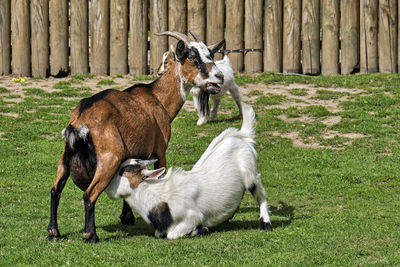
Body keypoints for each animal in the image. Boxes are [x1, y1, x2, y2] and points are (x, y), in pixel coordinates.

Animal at [47, 31, 225, 243]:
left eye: (211, 55)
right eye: (192, 57)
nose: (220, 77)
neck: (157, 98)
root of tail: (80, 120)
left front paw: (127, 217)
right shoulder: (159, 149)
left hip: (65, 157)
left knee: (55, 191)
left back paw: (53, 232)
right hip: (109, 158)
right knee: (89, 195)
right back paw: (90, 235)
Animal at [105, 103, 272, 241]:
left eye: (123, 171)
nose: (107, 187)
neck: (158, 197)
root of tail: (243, 136)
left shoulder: (192, 216)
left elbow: (172, 235)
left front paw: (200, 230)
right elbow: (160, 234)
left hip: (250, 174)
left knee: (261, 195)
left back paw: (265, 223)